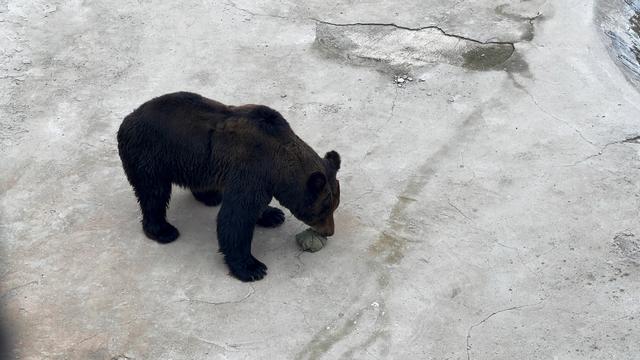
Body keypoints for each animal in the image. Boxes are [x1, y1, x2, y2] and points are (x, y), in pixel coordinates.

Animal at [117, 92, 342, 282]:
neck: (277, 165)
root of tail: (127, 119)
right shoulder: (251, 170)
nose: (329, 232)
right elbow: (236, 218)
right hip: (150, 154)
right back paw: (163, 230)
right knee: (153, 194)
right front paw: (252, 268)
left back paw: (210, 196)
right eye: (323, 210)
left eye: (334, 206)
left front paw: (273, 214)